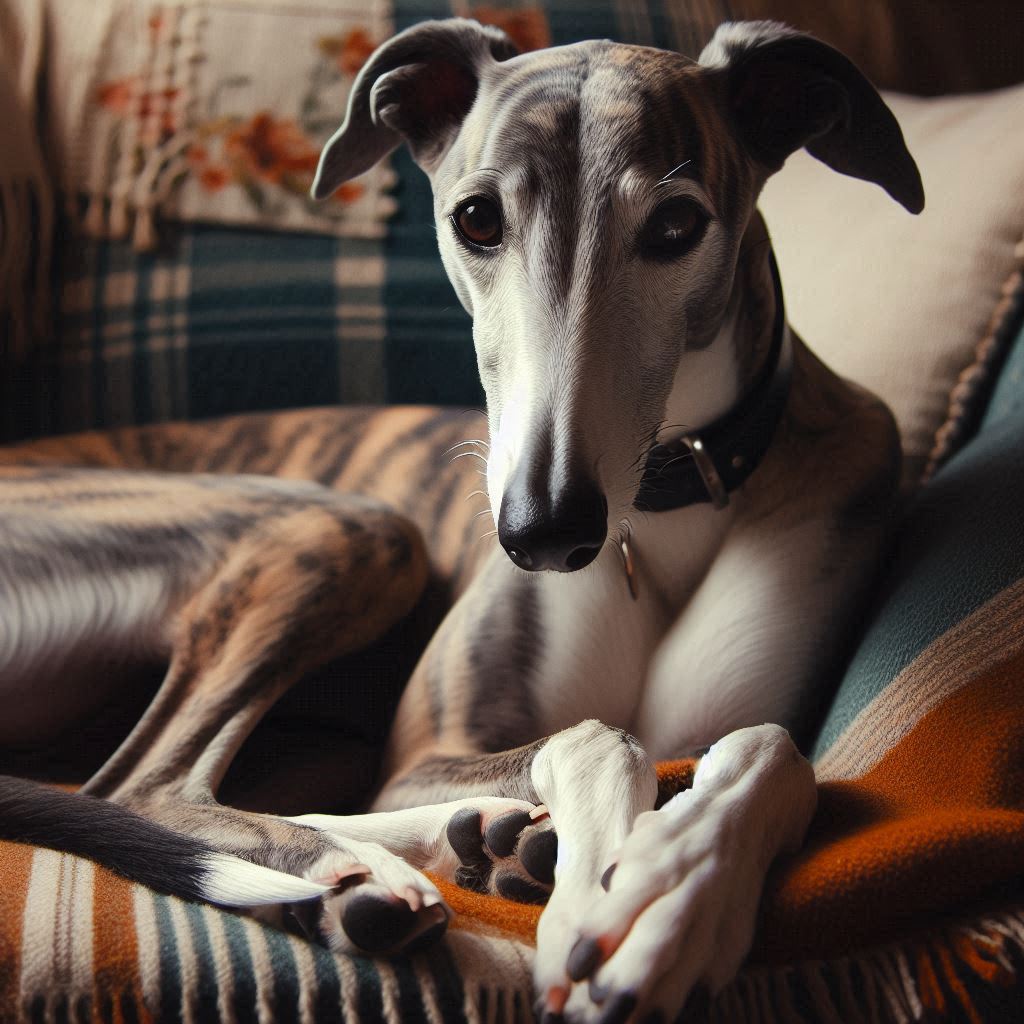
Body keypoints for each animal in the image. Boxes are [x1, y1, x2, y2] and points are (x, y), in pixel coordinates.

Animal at [0, 18, 925, 1024]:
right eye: (476, 219)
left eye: (677, 226)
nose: (546, 532)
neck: (655, 517)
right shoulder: (420, 754)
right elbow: (603, 732)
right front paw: (604, 880)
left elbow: (774, 747)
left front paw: (670, 889)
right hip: (349, 528)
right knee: (142, 786)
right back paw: (372, 864)